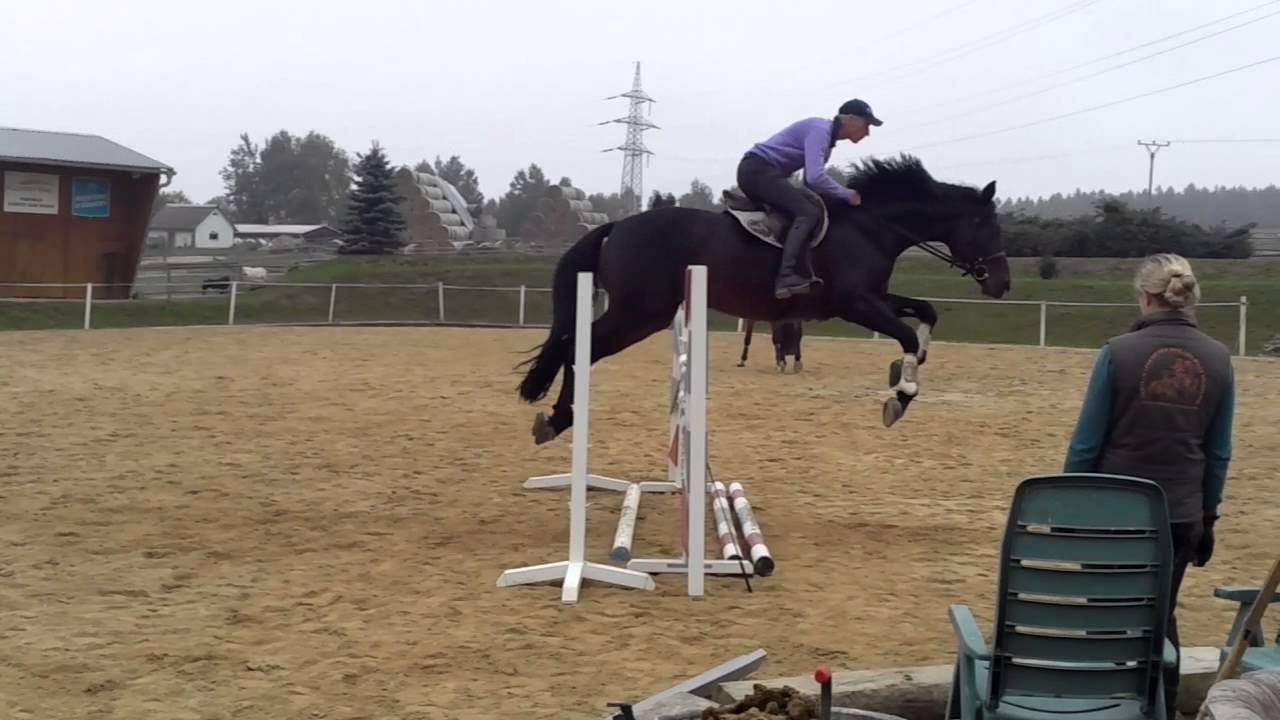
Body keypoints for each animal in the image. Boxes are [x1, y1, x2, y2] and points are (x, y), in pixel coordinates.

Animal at [515, 154, 1011, 445]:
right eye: (987, 225)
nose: (1002, 284)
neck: (871, 226)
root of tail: (616, 226)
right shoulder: (856, 304)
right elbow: (906, 333)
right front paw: (901, 395)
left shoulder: (869, 298)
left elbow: (924, 313)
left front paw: (909, 366)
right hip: (640, 313)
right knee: (579, 348)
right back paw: (558, 419)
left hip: (640, 312)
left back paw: (556, 419)